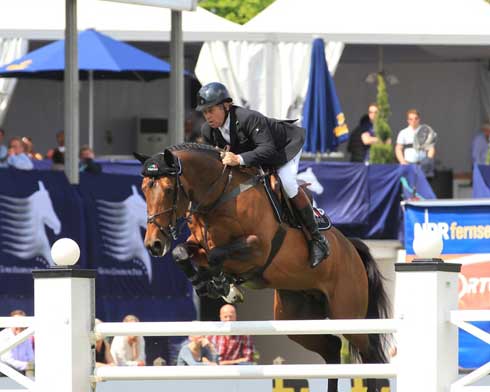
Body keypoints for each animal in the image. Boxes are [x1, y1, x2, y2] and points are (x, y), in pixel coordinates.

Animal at [136, 144, 388, 392]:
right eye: (144, 189)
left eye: (169, 189)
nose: (153, 244)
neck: (219, 196)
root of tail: (352, 248)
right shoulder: (199, 244)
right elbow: (181, 253)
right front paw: (212, 285)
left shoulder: (258, 248)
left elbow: (216, 256)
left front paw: (221, 285)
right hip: (296, 318)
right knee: (332, 348)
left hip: (347, 314)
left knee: (370, 354)